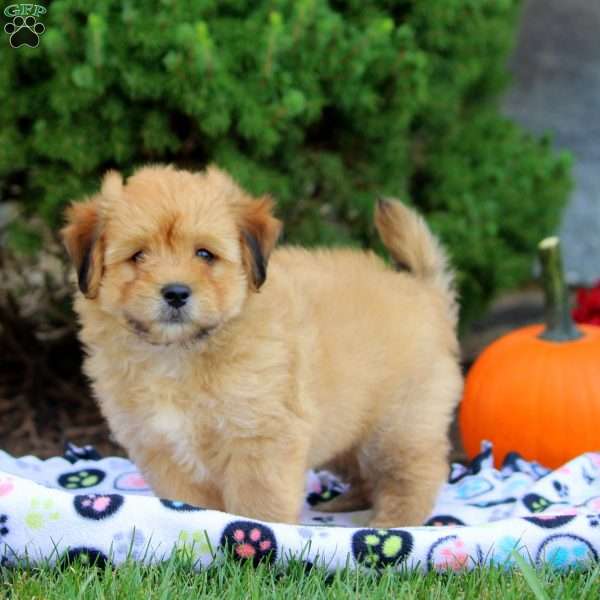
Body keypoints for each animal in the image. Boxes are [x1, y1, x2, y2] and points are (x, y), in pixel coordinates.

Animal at [61, 165, 462, 524]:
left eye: (204, 254)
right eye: (138, 256)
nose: (175, 292)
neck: (181, 352)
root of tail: (423, 290)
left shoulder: (260, 439)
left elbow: (259, 504)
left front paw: (260, 541)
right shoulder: (162, 448)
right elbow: (187, 503)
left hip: (398, 426)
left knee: (416, 475)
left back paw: (389, 524)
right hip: (348, 426)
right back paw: (344, 505)